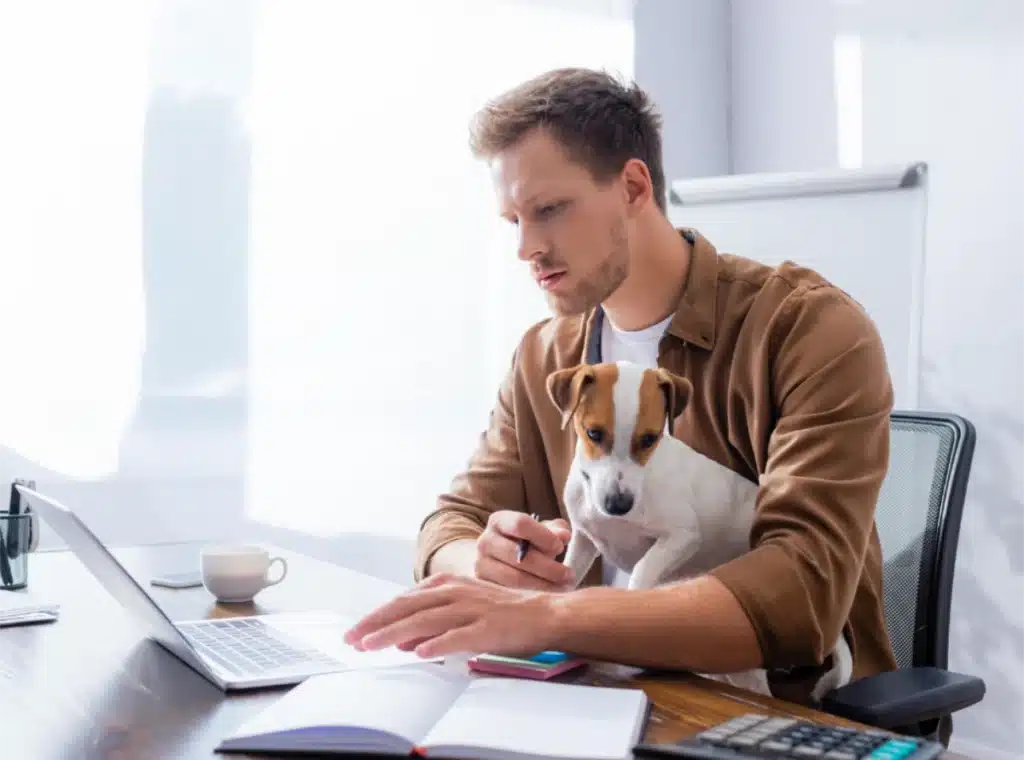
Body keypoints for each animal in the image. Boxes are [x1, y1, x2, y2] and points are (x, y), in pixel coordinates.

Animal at [548, 360, 851, 704]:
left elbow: (643, 568)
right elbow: (568, 574)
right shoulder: (584, 539)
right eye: (594, 434)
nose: (618, 504)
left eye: (650, 439)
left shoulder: (682, 535)